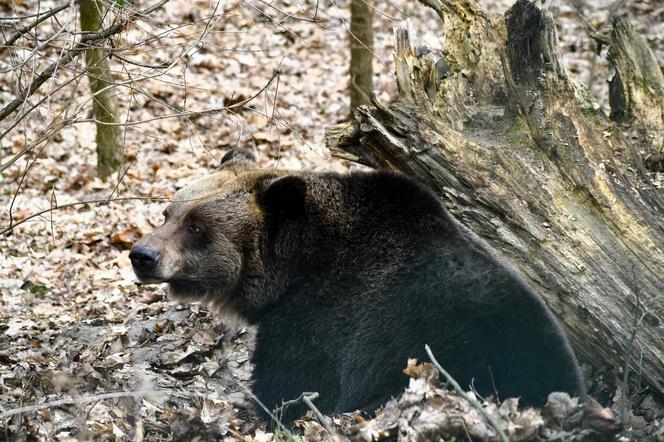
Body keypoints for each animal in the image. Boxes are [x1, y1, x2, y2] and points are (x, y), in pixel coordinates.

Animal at [131, 150, 588, 424]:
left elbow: (292, 382)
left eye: (197, 226)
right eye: (169, 212)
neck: (295, 268)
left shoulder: (327, 320)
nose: (142, 254)